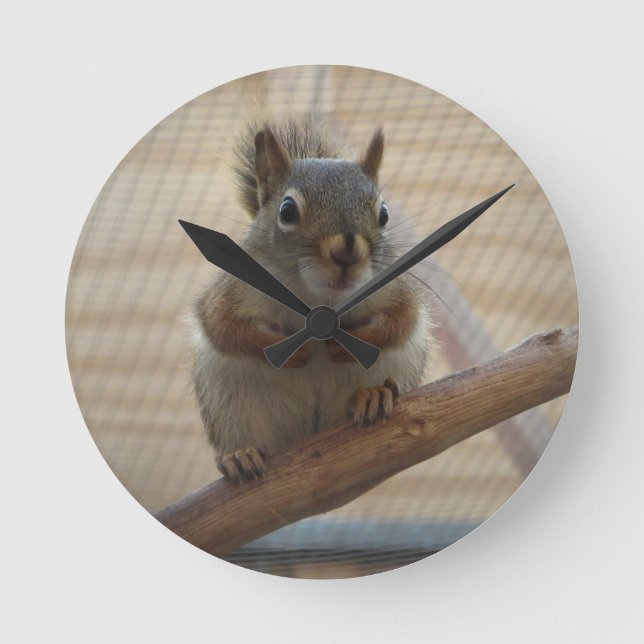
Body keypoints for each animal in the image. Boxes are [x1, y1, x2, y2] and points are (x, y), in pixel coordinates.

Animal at [189, 115, 433, 482]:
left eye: (384, 214)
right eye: (287, 211)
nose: (347, 251)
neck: (320, 300)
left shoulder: (396, 288)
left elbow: (403, 320)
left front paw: (355, 343)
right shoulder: (228, 293)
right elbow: (223, 327)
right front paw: (285, 351)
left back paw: (371, 395)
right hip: (229, 403)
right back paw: (240, 455)